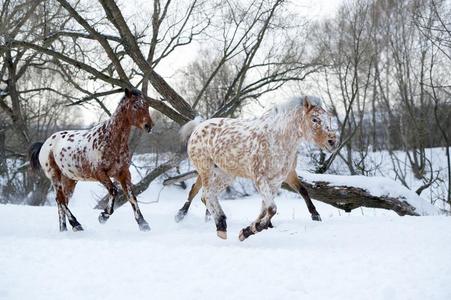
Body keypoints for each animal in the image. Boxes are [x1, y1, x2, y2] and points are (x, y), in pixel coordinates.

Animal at [29, 88, 155, 232]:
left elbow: (132, 197)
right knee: (60, 200)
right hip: (54, 175)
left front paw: (143, 224)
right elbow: (114, 191)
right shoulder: (99, 173)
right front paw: (103, 216)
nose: (149, 126)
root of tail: (46, 143)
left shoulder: (123, 173)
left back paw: (64, 229)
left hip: (70, 179)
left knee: (63, 201)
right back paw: (76, 224)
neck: (111, 140)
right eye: (135, 106)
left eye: (147, 105)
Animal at [175, 96, 338, 241]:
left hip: (226, 175)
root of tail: (197, 127)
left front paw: (248, 231)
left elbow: (265, 210)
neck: (277, 139)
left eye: (329, 119)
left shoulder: (276, 182)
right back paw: (217, 224)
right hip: (206, 170)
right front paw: (253, 229)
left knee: (207, 195)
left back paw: (220, 223)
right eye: (315, 119)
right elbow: (272, 208)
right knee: (205, 195)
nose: (332, 141)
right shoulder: (260, 179)